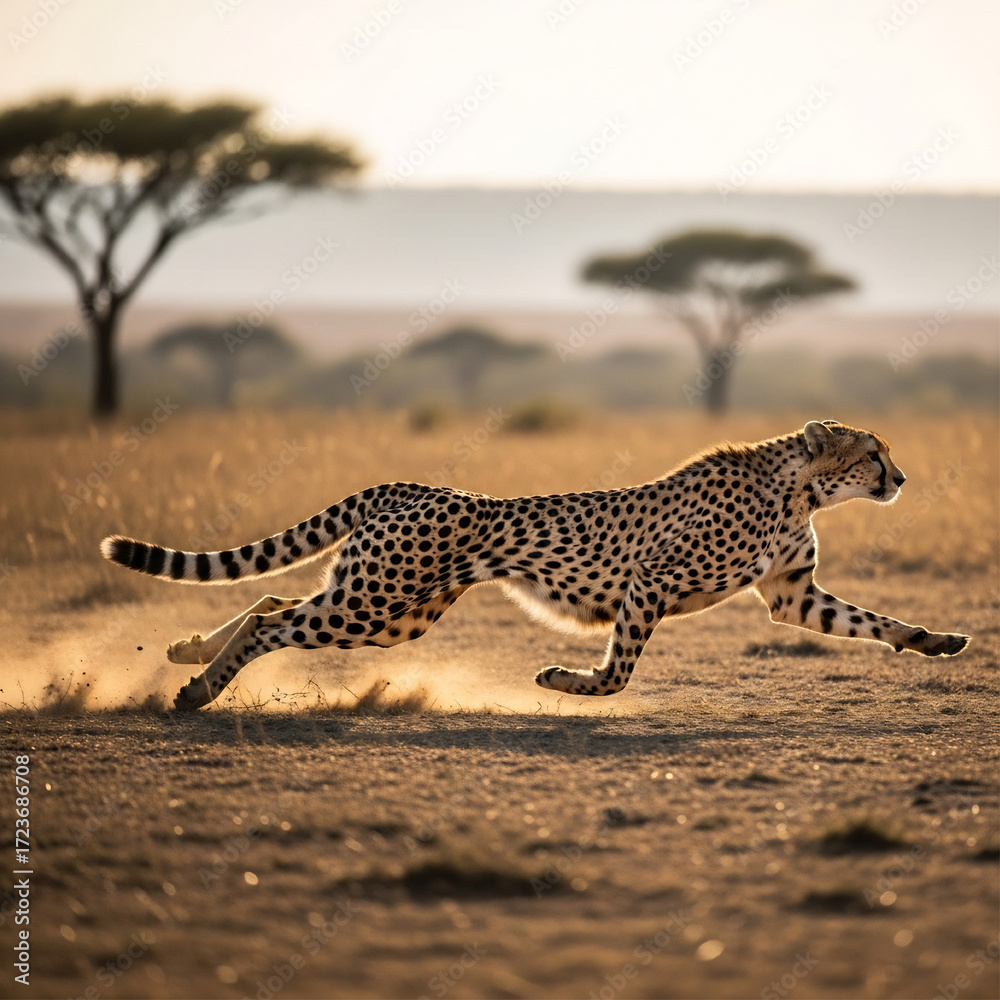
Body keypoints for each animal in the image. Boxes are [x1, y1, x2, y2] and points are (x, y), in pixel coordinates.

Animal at [100, 419, 969, 711]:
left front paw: (936, 641)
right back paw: (196, 689)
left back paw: (186, 652)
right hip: (377, 604)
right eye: (872, 453)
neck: (799, 487)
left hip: (389, 609)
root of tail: (409, 484)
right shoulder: (650, 582)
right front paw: (563, 680)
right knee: (273, 620)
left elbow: (871, 621)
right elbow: (618, 671)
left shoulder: (790, 596)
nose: (900, 478)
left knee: (271, 604)